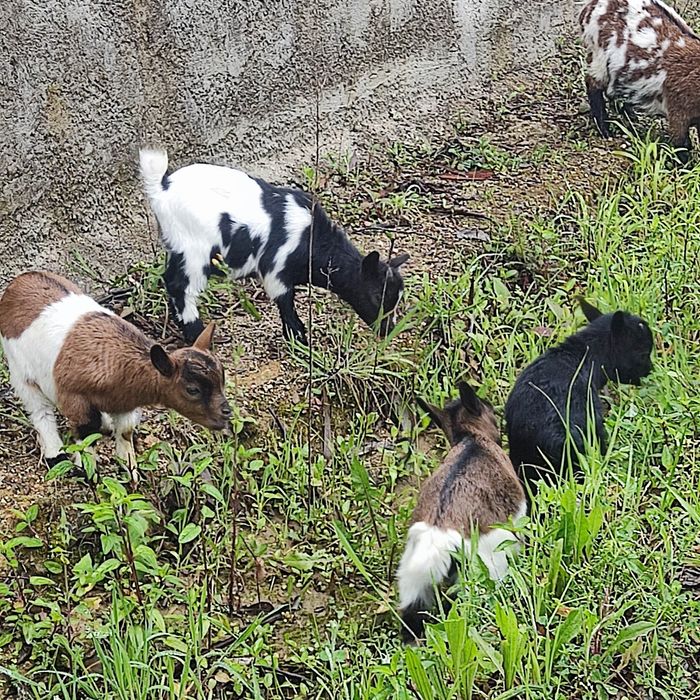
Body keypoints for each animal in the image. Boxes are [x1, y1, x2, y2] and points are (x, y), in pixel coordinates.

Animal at [0, 271, 231, 478]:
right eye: (192, 390)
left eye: (222, 378)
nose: (226, 413)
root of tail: (19, 281)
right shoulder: (74, 399)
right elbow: (86, 432)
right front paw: (88, 472)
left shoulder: (125, 401)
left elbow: (126, 430)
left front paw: (130, 470)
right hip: (19, 370)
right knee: (40, 410)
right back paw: (55, 454)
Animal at [138, 149, 410, 344]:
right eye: (377, 296)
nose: (389, 330)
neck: (311, 239)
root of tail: (161, 188)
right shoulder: (276, 271)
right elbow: (286, 304)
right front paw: (299, 342)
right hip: (194, 250)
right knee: (180, 286)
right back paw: (196, 334)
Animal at [579, 0, 700, 162]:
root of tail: (589, 8)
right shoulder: (678, 112)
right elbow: (681, 145)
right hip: (599, 58)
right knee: (593, 85)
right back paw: (605, 130)